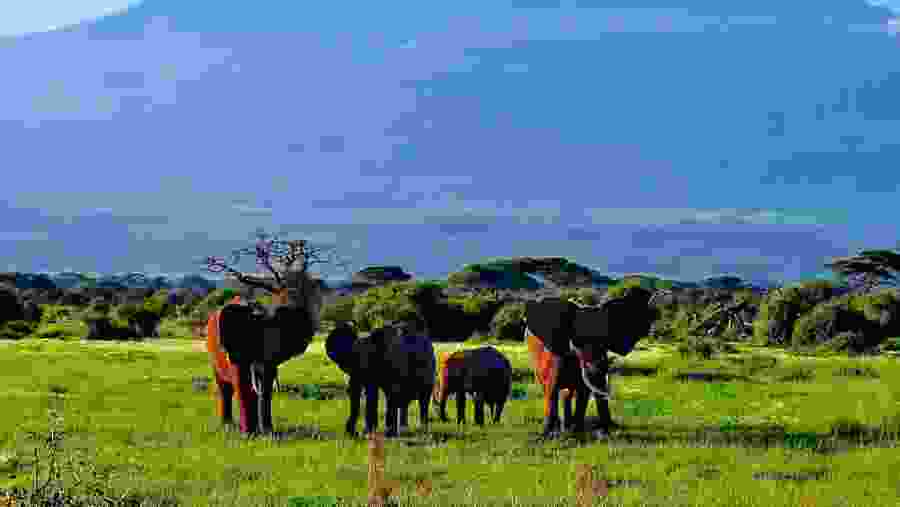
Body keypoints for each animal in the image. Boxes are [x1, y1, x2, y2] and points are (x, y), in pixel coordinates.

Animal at [206, 272, 325, 435]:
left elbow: (266, 387)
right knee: (225, 388)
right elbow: (242, 385)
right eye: (253, 341)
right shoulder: (236, 351)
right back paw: (228, 426)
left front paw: (268, 434)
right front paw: (249, 435)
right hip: (214, 354)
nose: (265, 432)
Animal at [524, 287, 669, 438]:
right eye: (577, 341)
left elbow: (584, 392)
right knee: (549, 388)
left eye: (606, 341)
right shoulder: (555, 355)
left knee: (569, 393)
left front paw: (577, 433)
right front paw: (550, 435)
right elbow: (552, 388)